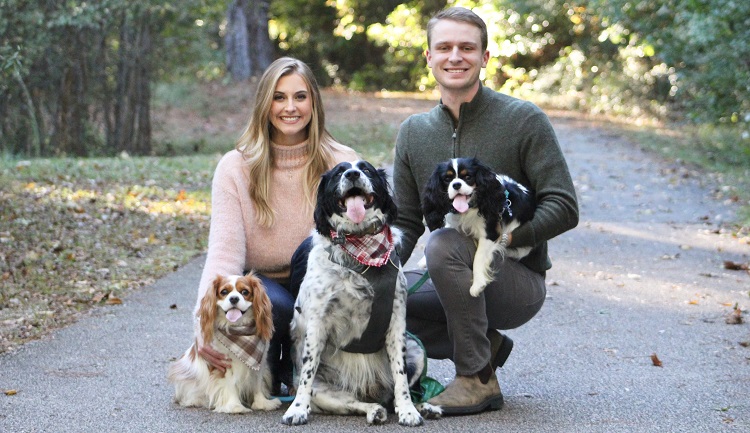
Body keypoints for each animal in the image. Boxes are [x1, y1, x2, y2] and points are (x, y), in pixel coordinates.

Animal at [168, 274, 282, 412]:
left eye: (245, 292)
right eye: (224, 292)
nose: (233, 298)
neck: (238, 330)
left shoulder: (259, 364)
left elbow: (257, 384)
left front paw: (262, 403)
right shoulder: (223, 364)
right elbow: (229, 384)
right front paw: (235, 406)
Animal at [284, 161, 444, 426]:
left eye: (366, 169)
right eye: (339, 172)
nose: (352, 174)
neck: (360, 254)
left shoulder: (396, 322)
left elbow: (400, 377)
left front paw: (409, 411)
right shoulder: (316, 324)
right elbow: (307, 375)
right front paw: (296, 410)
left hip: (417, 351)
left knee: (396, 395)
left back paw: (423, 406)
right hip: (325, 390)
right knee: (353, 403)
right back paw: (373, 410)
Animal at [424, 158, 536, 296]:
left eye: (468, 177)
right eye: (447, 179)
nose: (456, 184)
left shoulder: (491, 234)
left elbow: (479, 256)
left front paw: (477, 284)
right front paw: (423, 260)